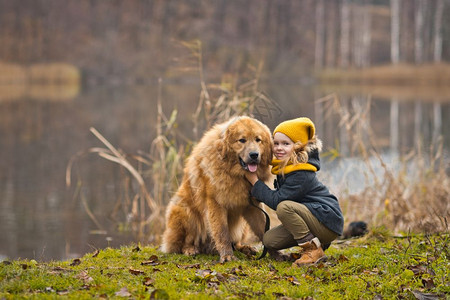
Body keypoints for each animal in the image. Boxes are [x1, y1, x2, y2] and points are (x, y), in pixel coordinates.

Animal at [163, 116, 274, 262]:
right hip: (186, 212)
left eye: (258, 140)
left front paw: (278, 254)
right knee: (183, 242)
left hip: (243, 226)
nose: (254, 154)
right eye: (242, 140)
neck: (234, 174)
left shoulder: (252, 206)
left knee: (236, 242)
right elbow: (222, 232)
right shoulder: (216, 204)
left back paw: (245, 248)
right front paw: (227, 256)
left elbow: (264, 229)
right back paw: (190, 249)